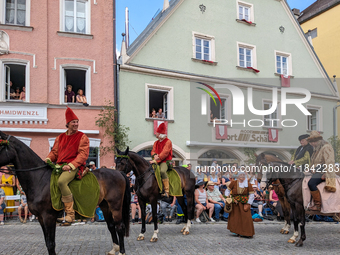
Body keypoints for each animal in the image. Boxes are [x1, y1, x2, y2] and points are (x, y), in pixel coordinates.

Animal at [0, 131, 130, 255]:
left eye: (0, 145)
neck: (39, 179)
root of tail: (118, 172)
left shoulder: (49, 217)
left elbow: (51, 243)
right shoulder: (41, 218)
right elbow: (47, 242)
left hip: (115, 206)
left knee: (119, 226)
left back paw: (122, 251)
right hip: (105, 205)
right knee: (111, 225)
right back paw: (114, 249)